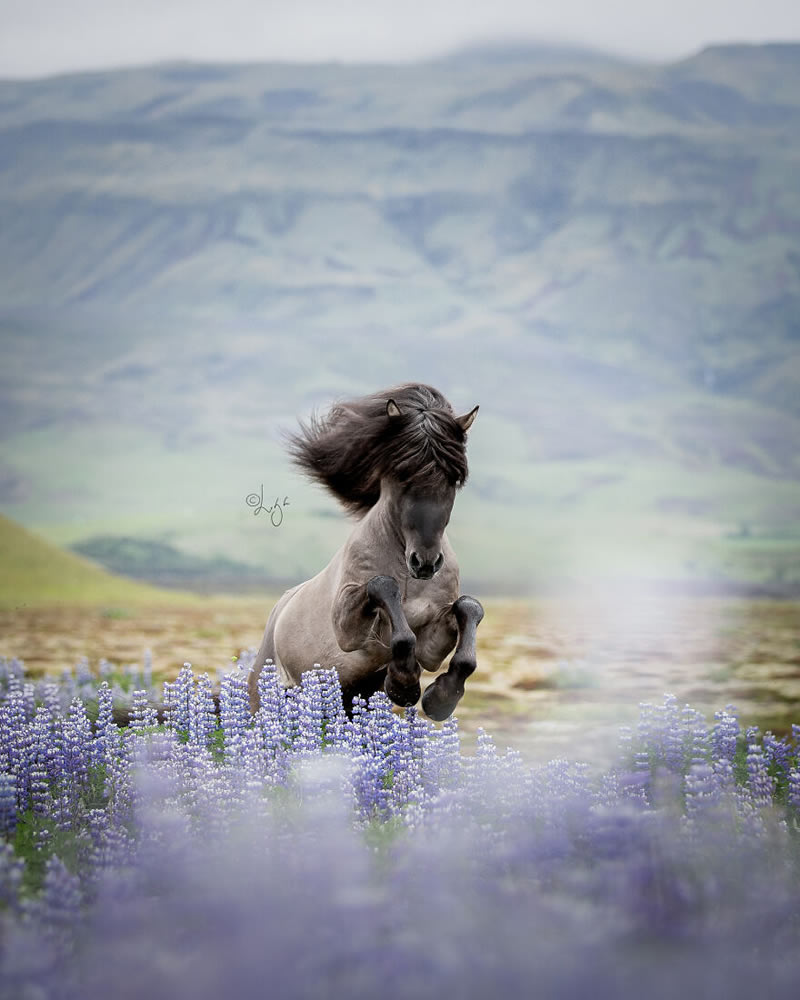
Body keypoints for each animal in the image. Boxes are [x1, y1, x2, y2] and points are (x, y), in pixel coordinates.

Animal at [245, 382, 482, 720]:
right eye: (402, 473)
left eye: (455, 477)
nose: (424, 562)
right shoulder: (348, 630)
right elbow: (383, 589)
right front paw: (404, 684)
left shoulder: (432, 644)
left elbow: (468, 610)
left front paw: (440, 697)